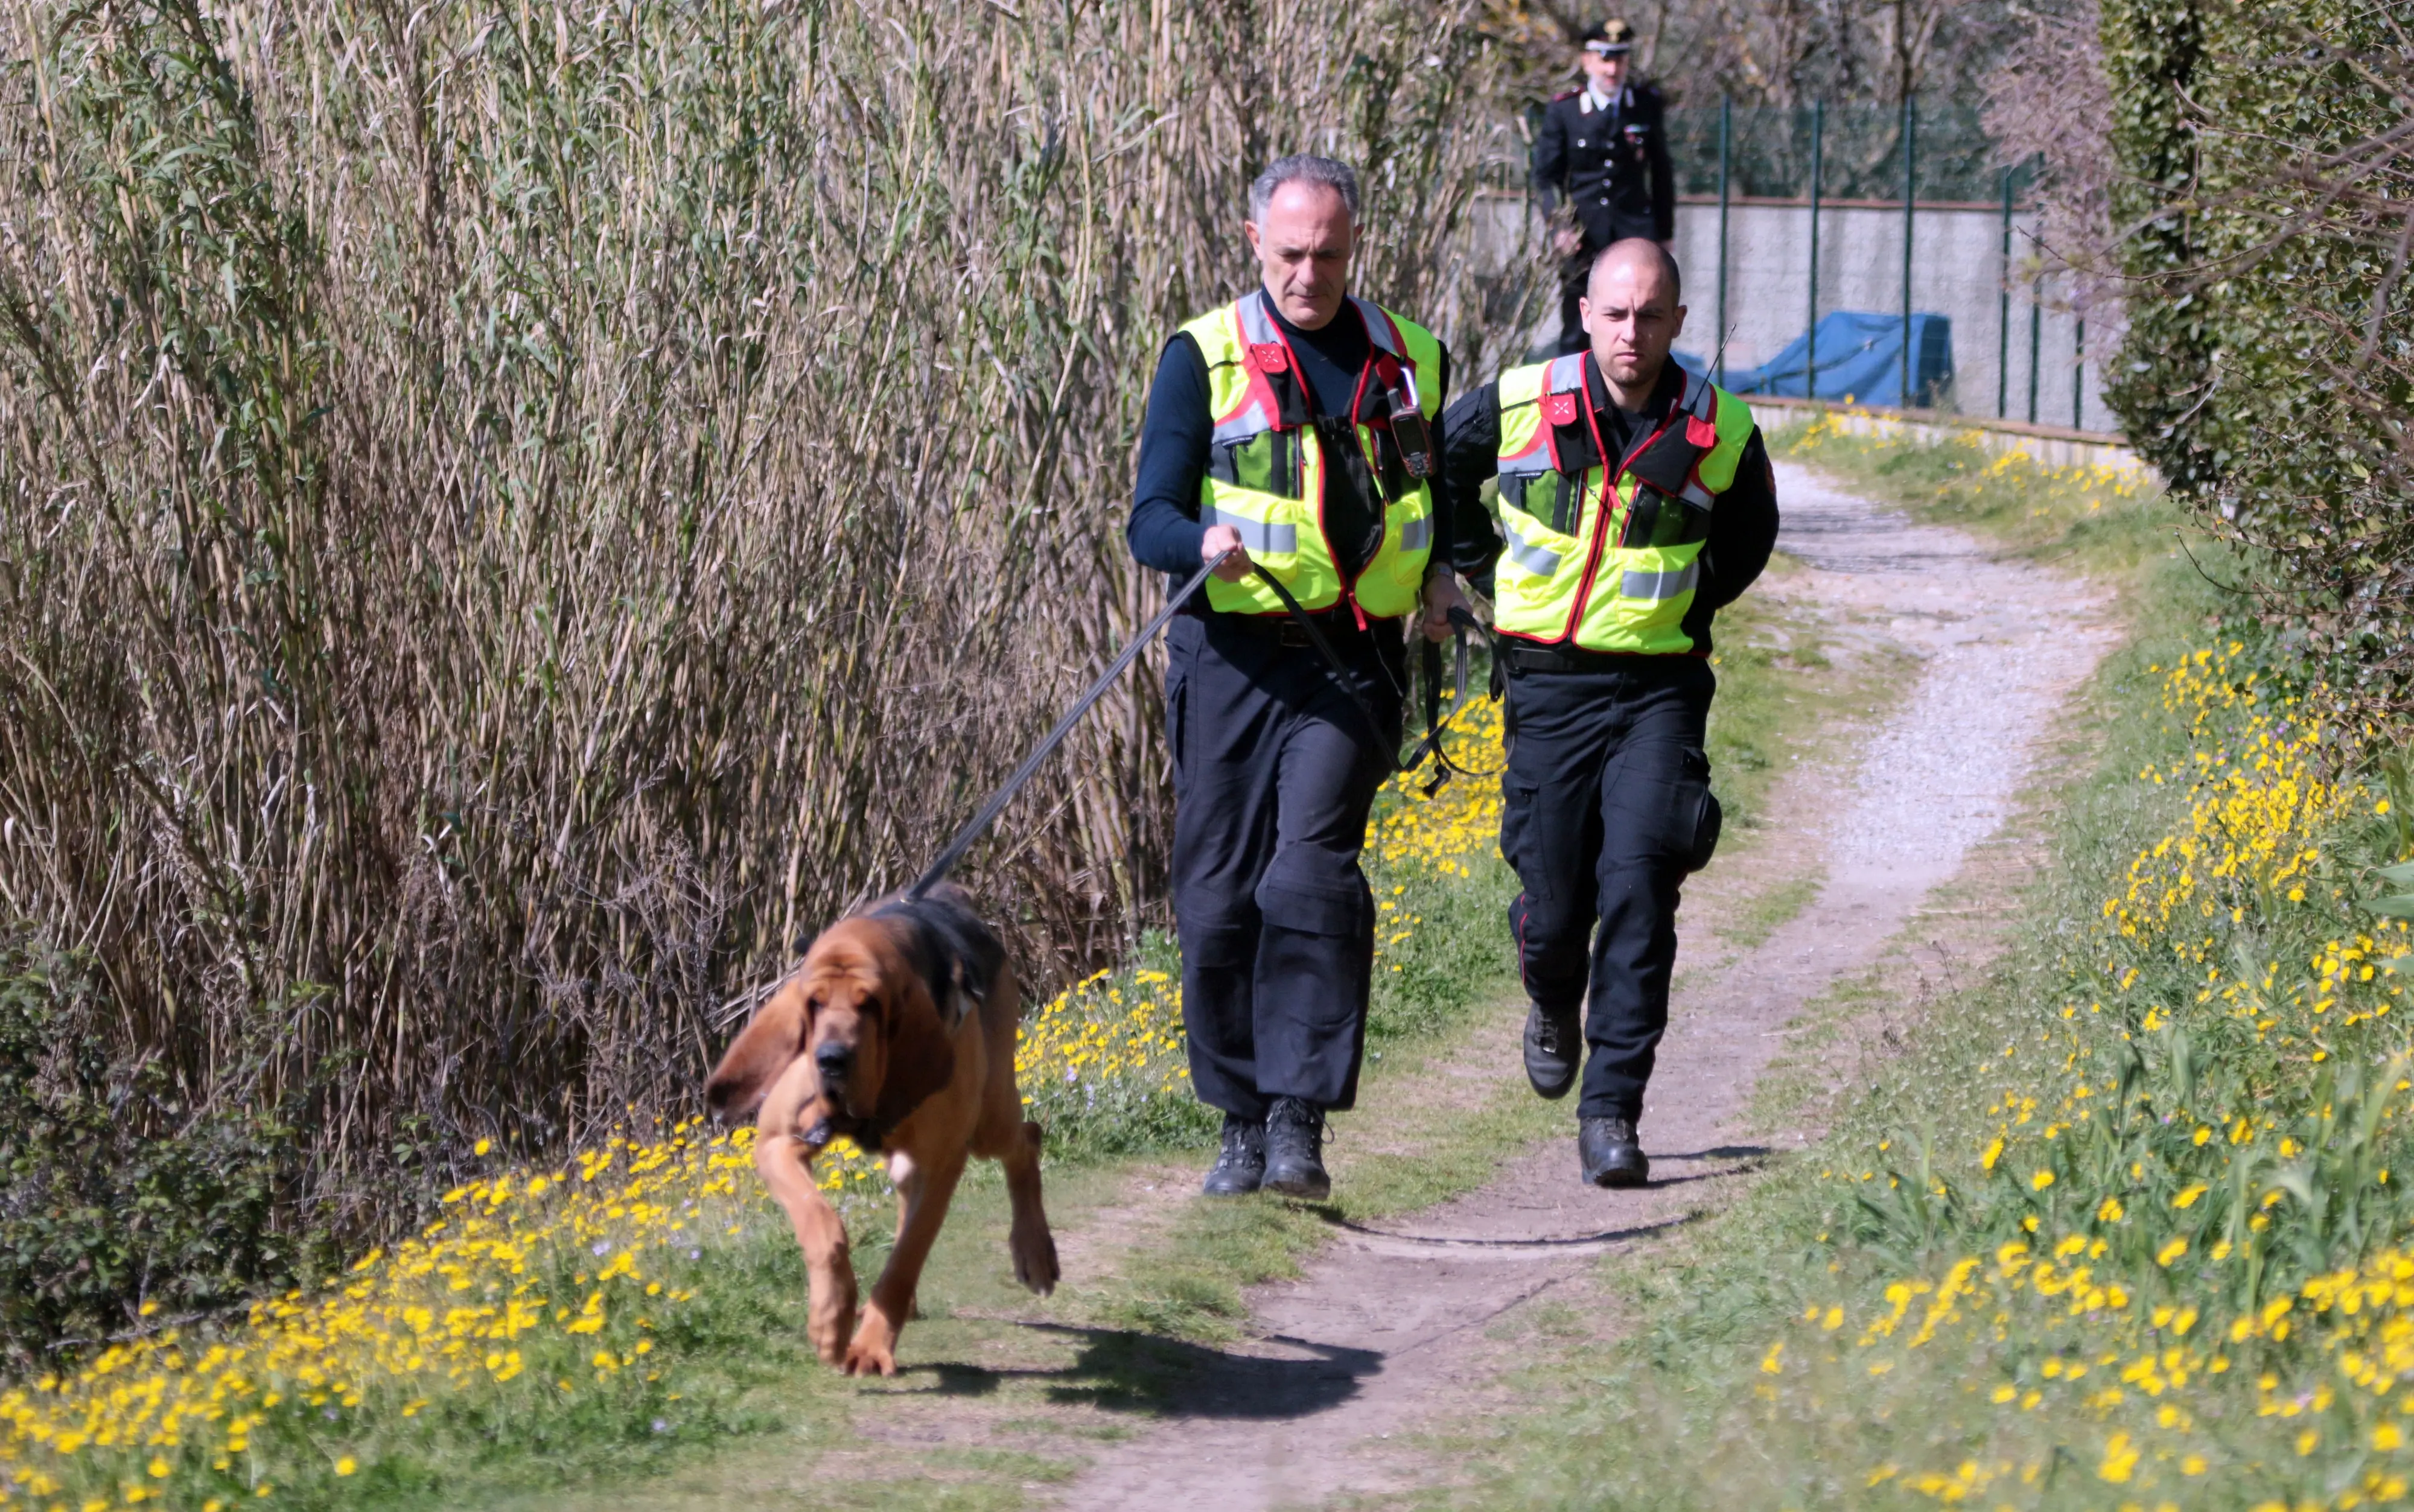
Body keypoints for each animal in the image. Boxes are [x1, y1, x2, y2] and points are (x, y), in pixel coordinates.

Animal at [700, 879, 1057, 1371]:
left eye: (869, 1004)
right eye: (814, 1003)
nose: (831, 1060)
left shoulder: (944, 1161)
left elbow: (906, 1259)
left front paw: (870, 1346)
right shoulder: (777, 1144)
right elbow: (824, 1227)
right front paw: (831, 1319)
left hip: (990, 1121)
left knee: (1026, 1140)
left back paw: (1035, 1254)